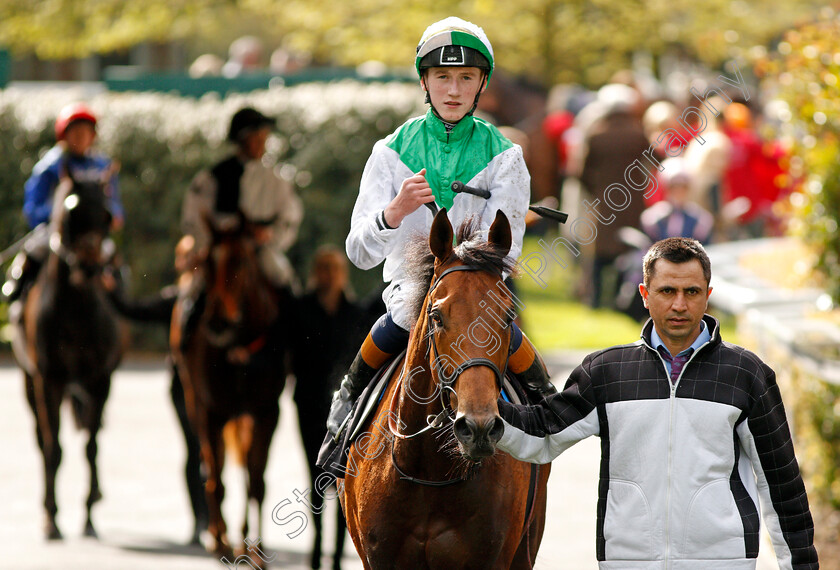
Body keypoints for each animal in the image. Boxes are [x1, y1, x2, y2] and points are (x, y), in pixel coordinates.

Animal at [12, 172, 126, 536]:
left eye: (107, 215)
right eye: (72, 212)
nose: (90, 268)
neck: (75, 308)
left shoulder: (100, 380)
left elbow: (91, 446)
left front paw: (88, 514)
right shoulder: (48, 380)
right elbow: (53, 448)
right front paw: (51, 517)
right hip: (29, 381)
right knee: (41, 439)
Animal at [171, 214, 288, 564]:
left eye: (240, 261)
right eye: (207, 263)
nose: (218, 323)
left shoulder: (266, 412)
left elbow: (256, 481)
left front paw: (257, 550)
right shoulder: (212, 412)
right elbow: (217, 479)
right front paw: (220, 541)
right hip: (196, 404)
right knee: (214, 468)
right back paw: (220, 535)